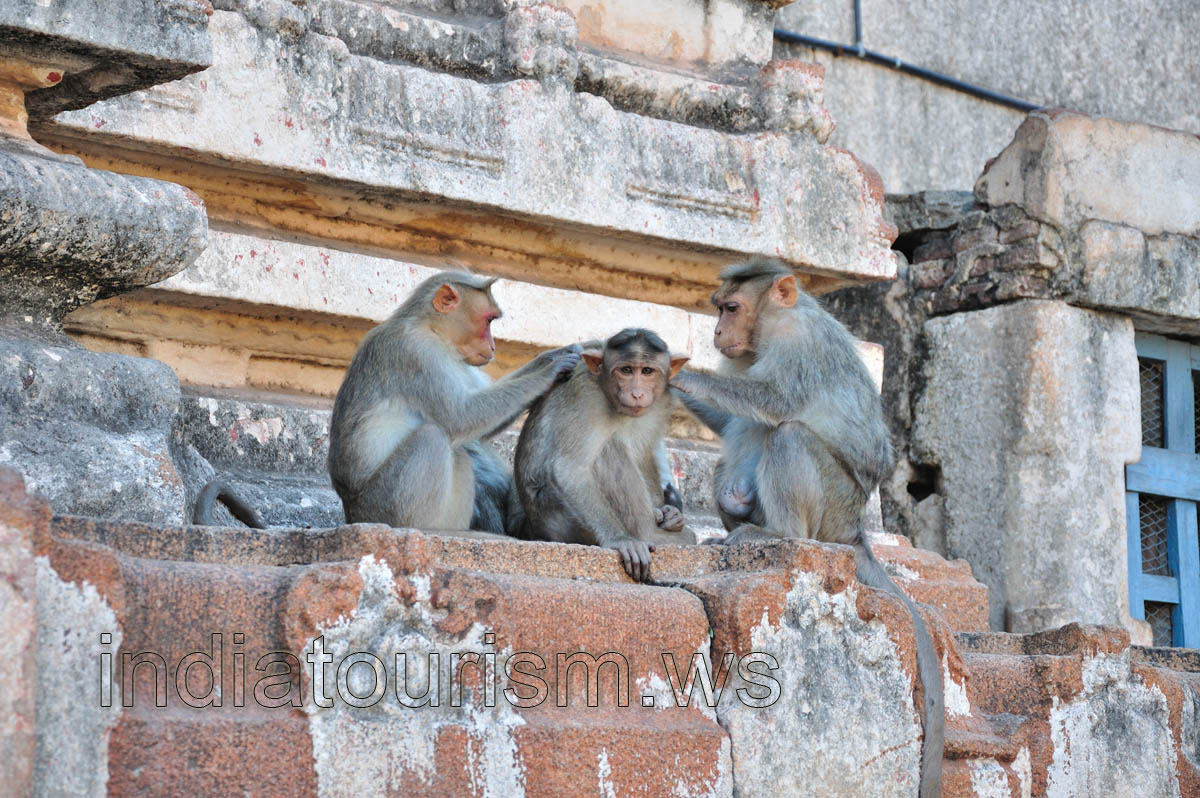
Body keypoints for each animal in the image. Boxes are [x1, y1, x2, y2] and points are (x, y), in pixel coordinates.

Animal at [327, 270, 582, 532]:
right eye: (489, 321)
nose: (493, 347)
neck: (433, 330)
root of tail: (352, 512)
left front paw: (555, 354)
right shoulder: (417, 353)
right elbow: (460, 417)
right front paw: (550, 372)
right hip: (382, 505)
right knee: (434, 436)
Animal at [513, 328, 694, 582]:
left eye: (647, 371)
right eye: (626, 370)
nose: (637, 393)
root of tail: (534, 529)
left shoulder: (662, 400)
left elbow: (645, 450)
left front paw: (671, 513)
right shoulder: (587, 399)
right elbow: (569, 468)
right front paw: (621, 540)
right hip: (561, 520)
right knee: (608, 451)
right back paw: (651, 535)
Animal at [671, 258, 944, 798]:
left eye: (730, 308)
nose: (716, 332)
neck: (770, 323)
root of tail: (855, 530)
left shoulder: (796, 343)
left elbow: (773, 401)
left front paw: (687, 376)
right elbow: (732, 420)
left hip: (833, 507)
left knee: (790, 434)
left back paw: (778, 535)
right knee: (734, 454)